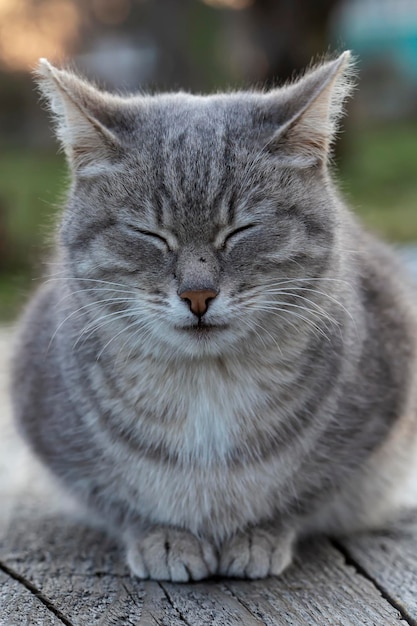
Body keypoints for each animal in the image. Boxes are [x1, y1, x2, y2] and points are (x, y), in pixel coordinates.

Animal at [11, 52, 416, 580]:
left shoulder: (375, 421)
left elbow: (303, 495)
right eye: (150, 234)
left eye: (241, 229)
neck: (207, 385)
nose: (198, 294)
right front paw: (162, 536)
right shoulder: (49, 428)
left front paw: (259, 535)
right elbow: (119, 502)